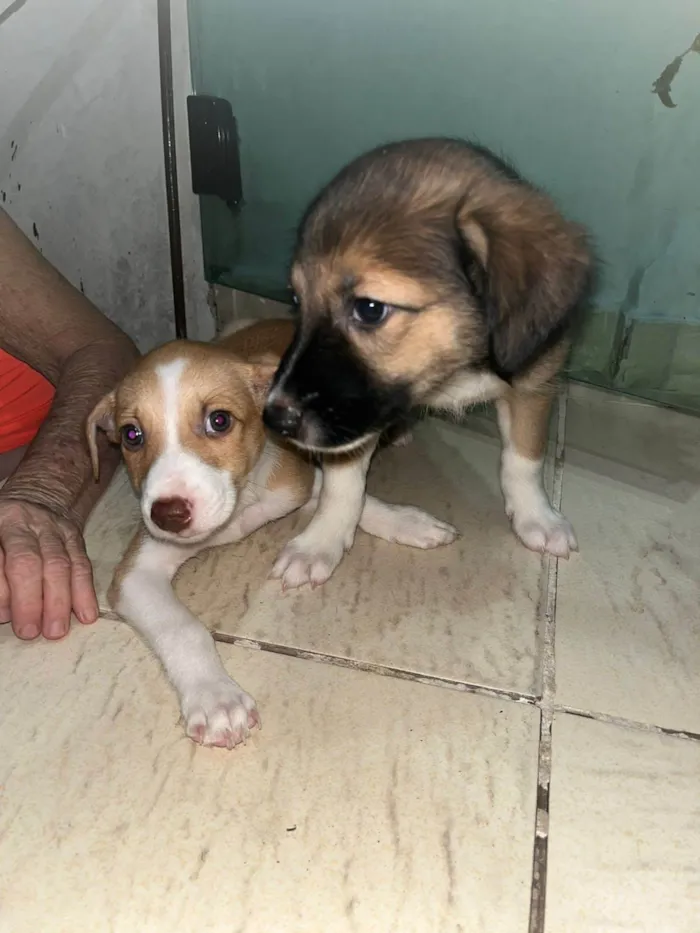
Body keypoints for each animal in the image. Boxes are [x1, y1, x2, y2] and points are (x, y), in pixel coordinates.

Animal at [86, 316, 460, 748]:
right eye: (132, 436)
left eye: (219, 420)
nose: (169, 515)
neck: (239, 505)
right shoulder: (138, 572)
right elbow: (182, 628)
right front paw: (215, 697)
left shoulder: (296, 480)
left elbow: (349, 496)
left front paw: (405, 522)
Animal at [266, 138, 592, 560]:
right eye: (296, 299)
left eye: (369, 309)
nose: (274, 419)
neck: (454, 369)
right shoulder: (354, 419)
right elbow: (342, 486)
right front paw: (320, 543)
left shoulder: (535, 383)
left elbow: (523, 459)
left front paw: (536, 517)